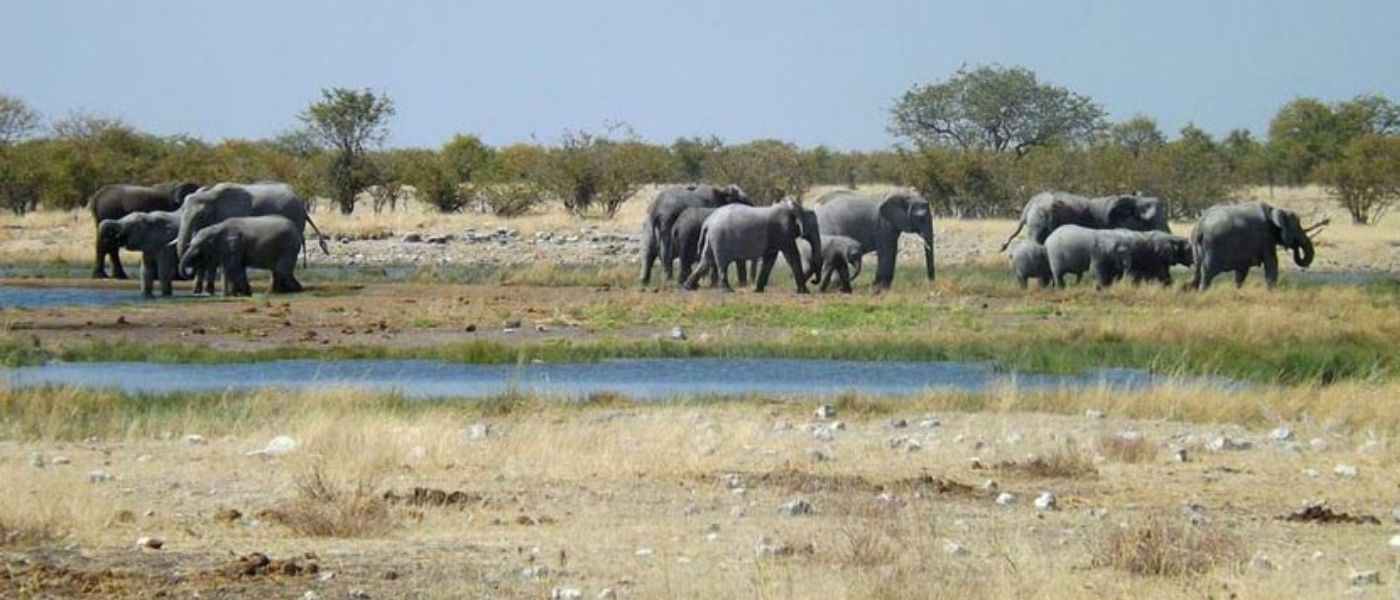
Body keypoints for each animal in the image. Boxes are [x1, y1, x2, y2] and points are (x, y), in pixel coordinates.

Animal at [680, 197, 817, 293]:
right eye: (814, 225)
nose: (814, 282)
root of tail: (708, 222)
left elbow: (770, 260)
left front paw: (757, 290)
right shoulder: (783, 232)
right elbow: (792, 257)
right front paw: (804, 292)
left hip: (712, 237)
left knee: (706, 260)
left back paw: (688, 287)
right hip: (719, 238)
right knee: (721, 263)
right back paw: (727, 290)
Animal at [1187, 201, 1316, 289]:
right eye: (1297, 227)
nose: (1294, 245)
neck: (1274, 211)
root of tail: (1199, 227)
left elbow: (1241, 271)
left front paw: (1237, 290)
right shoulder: (1265, 237)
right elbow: (1272, 263)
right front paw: (1272, 292)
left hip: (1197, 249)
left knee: (1198, 272)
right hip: (1212, 247)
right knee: (1207, 273)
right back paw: (1203, 292)